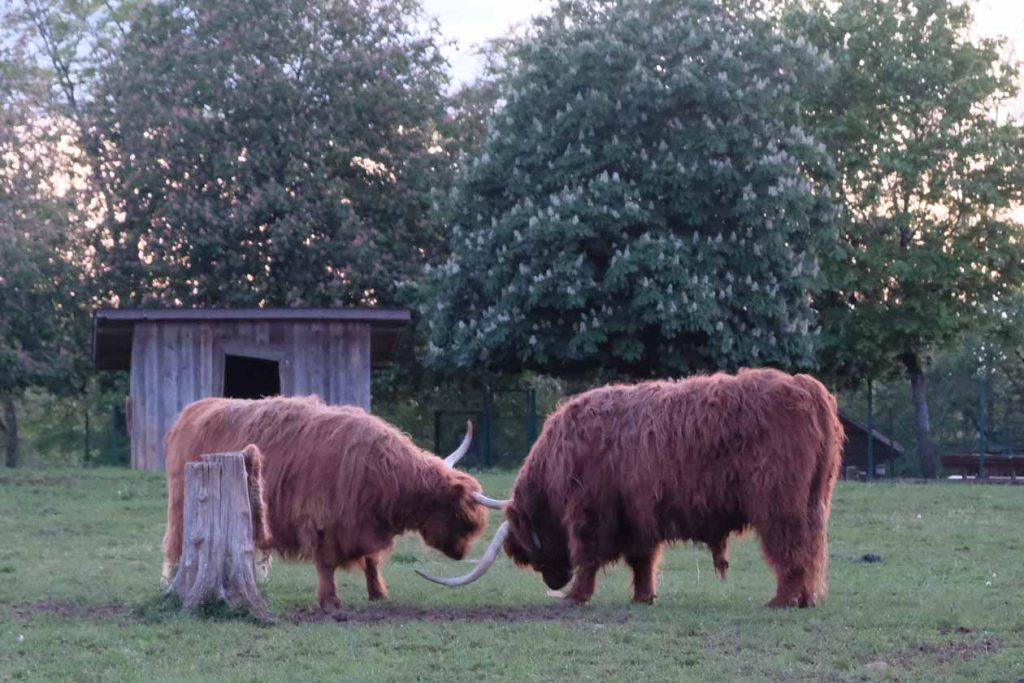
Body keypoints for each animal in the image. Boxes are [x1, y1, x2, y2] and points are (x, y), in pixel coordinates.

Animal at [161, 395, 489, 610]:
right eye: (461, 516)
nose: (461, 554)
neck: (385, 474)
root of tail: (195, 408)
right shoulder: (323, 521)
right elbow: (327, 564)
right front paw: (330, 601)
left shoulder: (364, 526)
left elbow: (372, 561)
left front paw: (378, 593)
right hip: (183, 506)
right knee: (176, 545)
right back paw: (168, 585)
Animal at [419, 368, 843, 610]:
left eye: (528, 549)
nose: (553, 582)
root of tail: (805, 387)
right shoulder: (637, 511)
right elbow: (642, 559)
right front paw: (643, 598)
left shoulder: (590, 509)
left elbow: (589, 554)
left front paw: (576, 596)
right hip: (812, 502)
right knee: (810, 549)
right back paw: (804, 599)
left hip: (778, 502)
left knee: (790, 548)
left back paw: (781, 600)